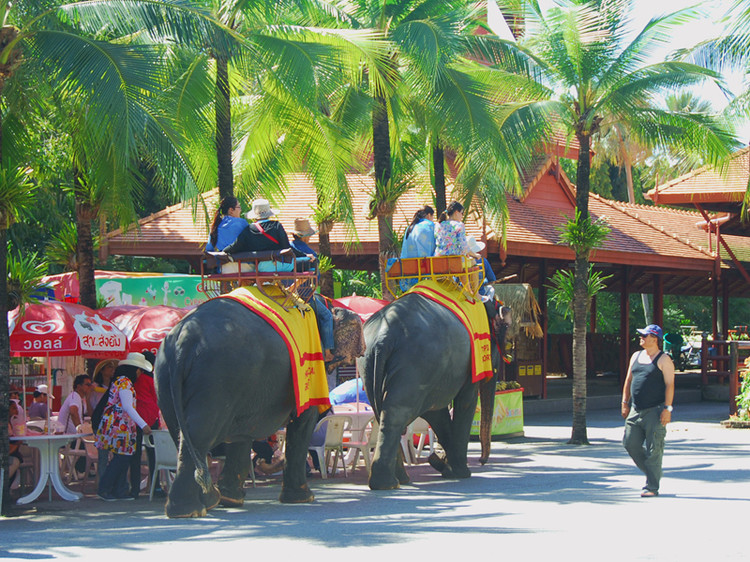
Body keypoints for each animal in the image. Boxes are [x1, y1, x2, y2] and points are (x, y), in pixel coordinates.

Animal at [155, 298, 364, 516]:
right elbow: (303, 423)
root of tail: (185, 339)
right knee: (199, 435)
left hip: (166, 376)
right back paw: (192, 509)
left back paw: (206, 501)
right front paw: (303, 499)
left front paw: (231, 500)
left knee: (182, 434)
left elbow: (242, 434)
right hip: (215, 378)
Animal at [358, 290, 512, 488]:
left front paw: (447, 468)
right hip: (415, 364)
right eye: (501, 338)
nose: (482, 461)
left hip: (368, 364)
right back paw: (387, 483)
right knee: (396, 414)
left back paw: (400, 480)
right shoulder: (469, 360)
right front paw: (460, 472)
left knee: (382, 413)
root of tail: (382, 338)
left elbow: (436, 413)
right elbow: (465, 403)